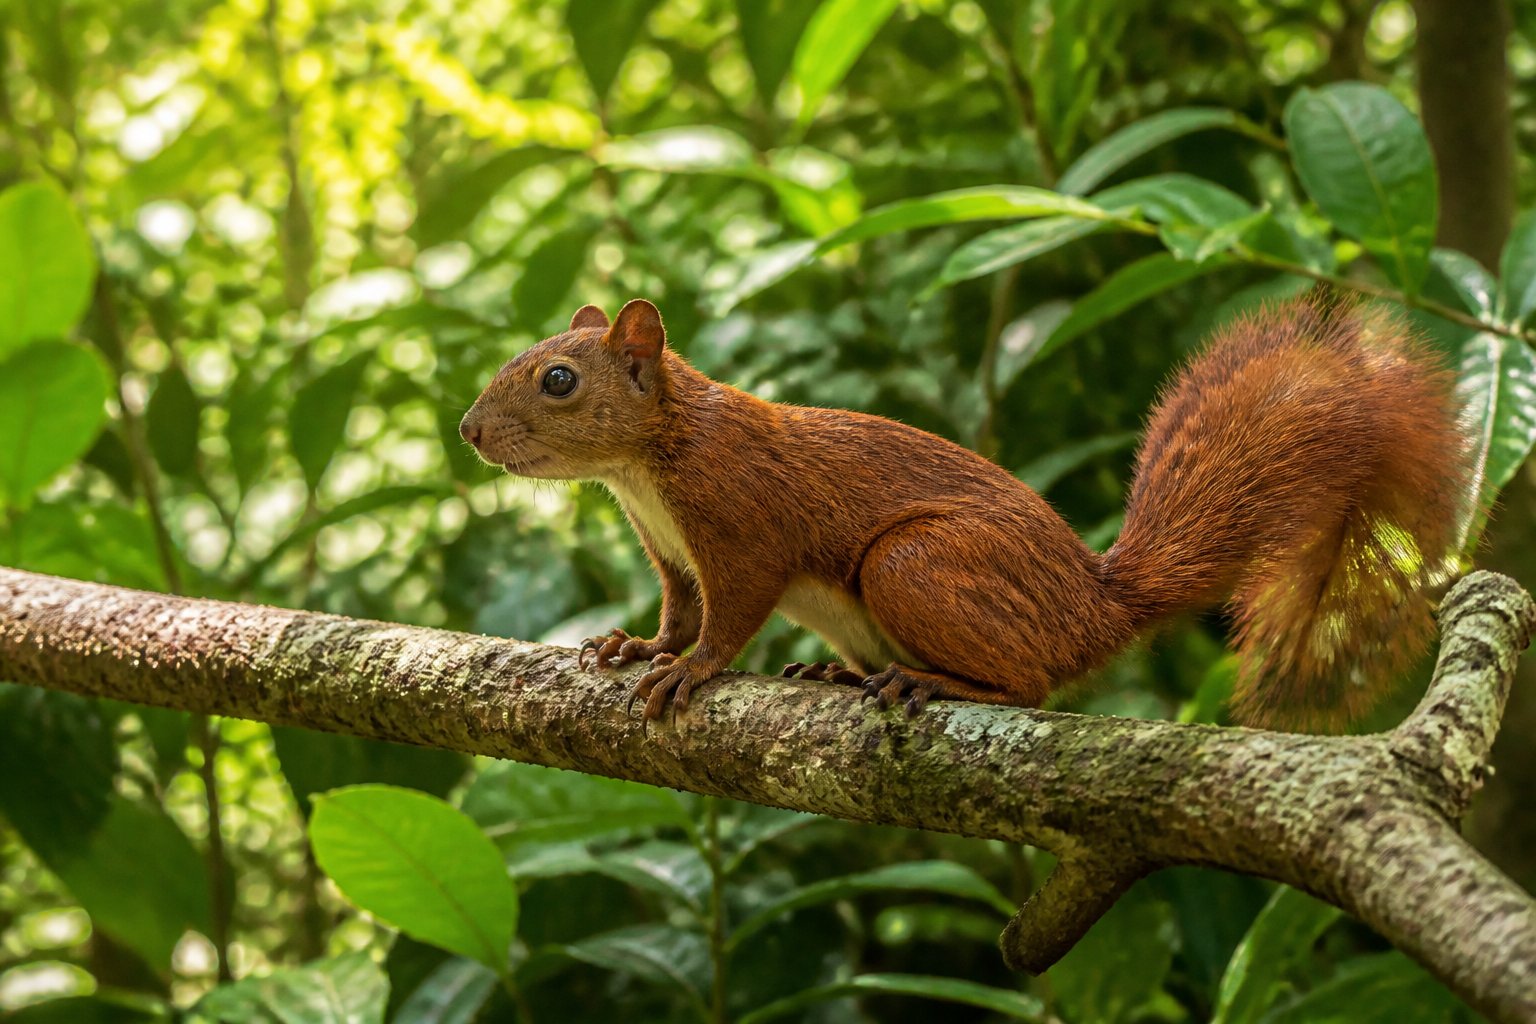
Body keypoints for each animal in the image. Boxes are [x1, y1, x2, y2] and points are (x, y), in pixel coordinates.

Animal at [459, 295, 1467, 730]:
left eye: (558, 380)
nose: (467, 431)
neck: (644, 468)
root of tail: (1094, 608)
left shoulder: (743, 523)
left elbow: (732, 612)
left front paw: (691, 670)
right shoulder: (671, 553)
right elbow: (677, 608)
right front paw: (638, 647)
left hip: (915, 565)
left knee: (1030, 685)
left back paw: (933, 684)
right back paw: (840, 674)